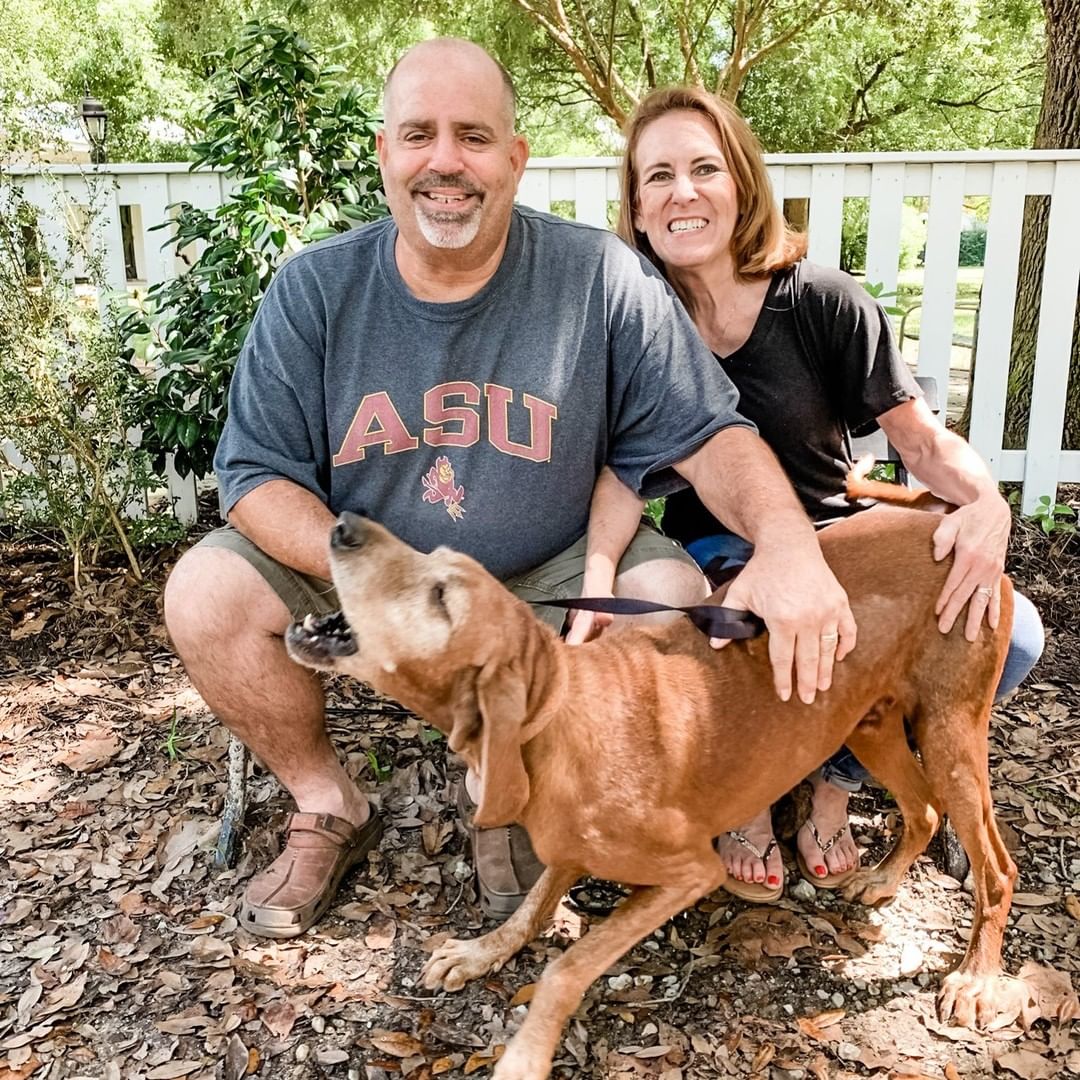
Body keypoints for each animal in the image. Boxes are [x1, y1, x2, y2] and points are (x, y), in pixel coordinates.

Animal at [285, 507, 1019, 1080]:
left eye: (442, 597)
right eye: (433, 560)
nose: (343, 525)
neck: (555, 716)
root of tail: (965, 536)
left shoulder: (690, 872)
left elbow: (567, 968)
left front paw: (524, 1055)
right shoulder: (568, 850)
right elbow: (529, 912)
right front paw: (479, 953)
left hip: (951, 733)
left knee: (997, 868)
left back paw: (977, 981)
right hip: (870, 725)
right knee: (923, 809)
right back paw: (884, 879)